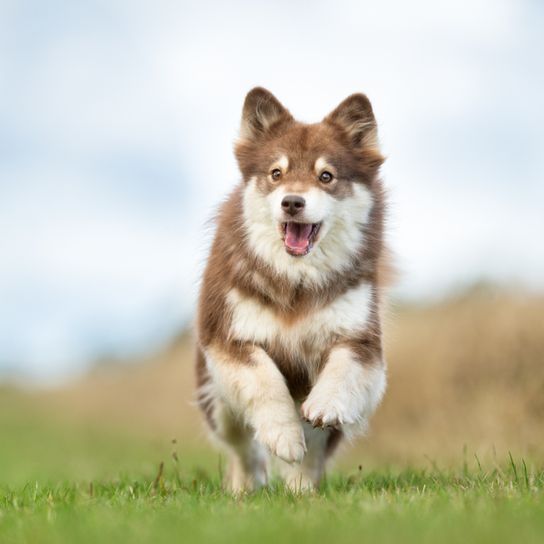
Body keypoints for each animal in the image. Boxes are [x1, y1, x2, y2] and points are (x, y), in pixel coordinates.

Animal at [196, 87, 386, 490]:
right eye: (276, 173)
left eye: (326, 176)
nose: (292, 202)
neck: (296, 280)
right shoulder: (228, 338)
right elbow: (263, 378)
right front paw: (282, 433)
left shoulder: (362, 341)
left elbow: (344, 368)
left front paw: (325, 404)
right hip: (217, 400)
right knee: (242, 446)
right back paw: (245, 486)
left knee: (311, 450)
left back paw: (301, 490)